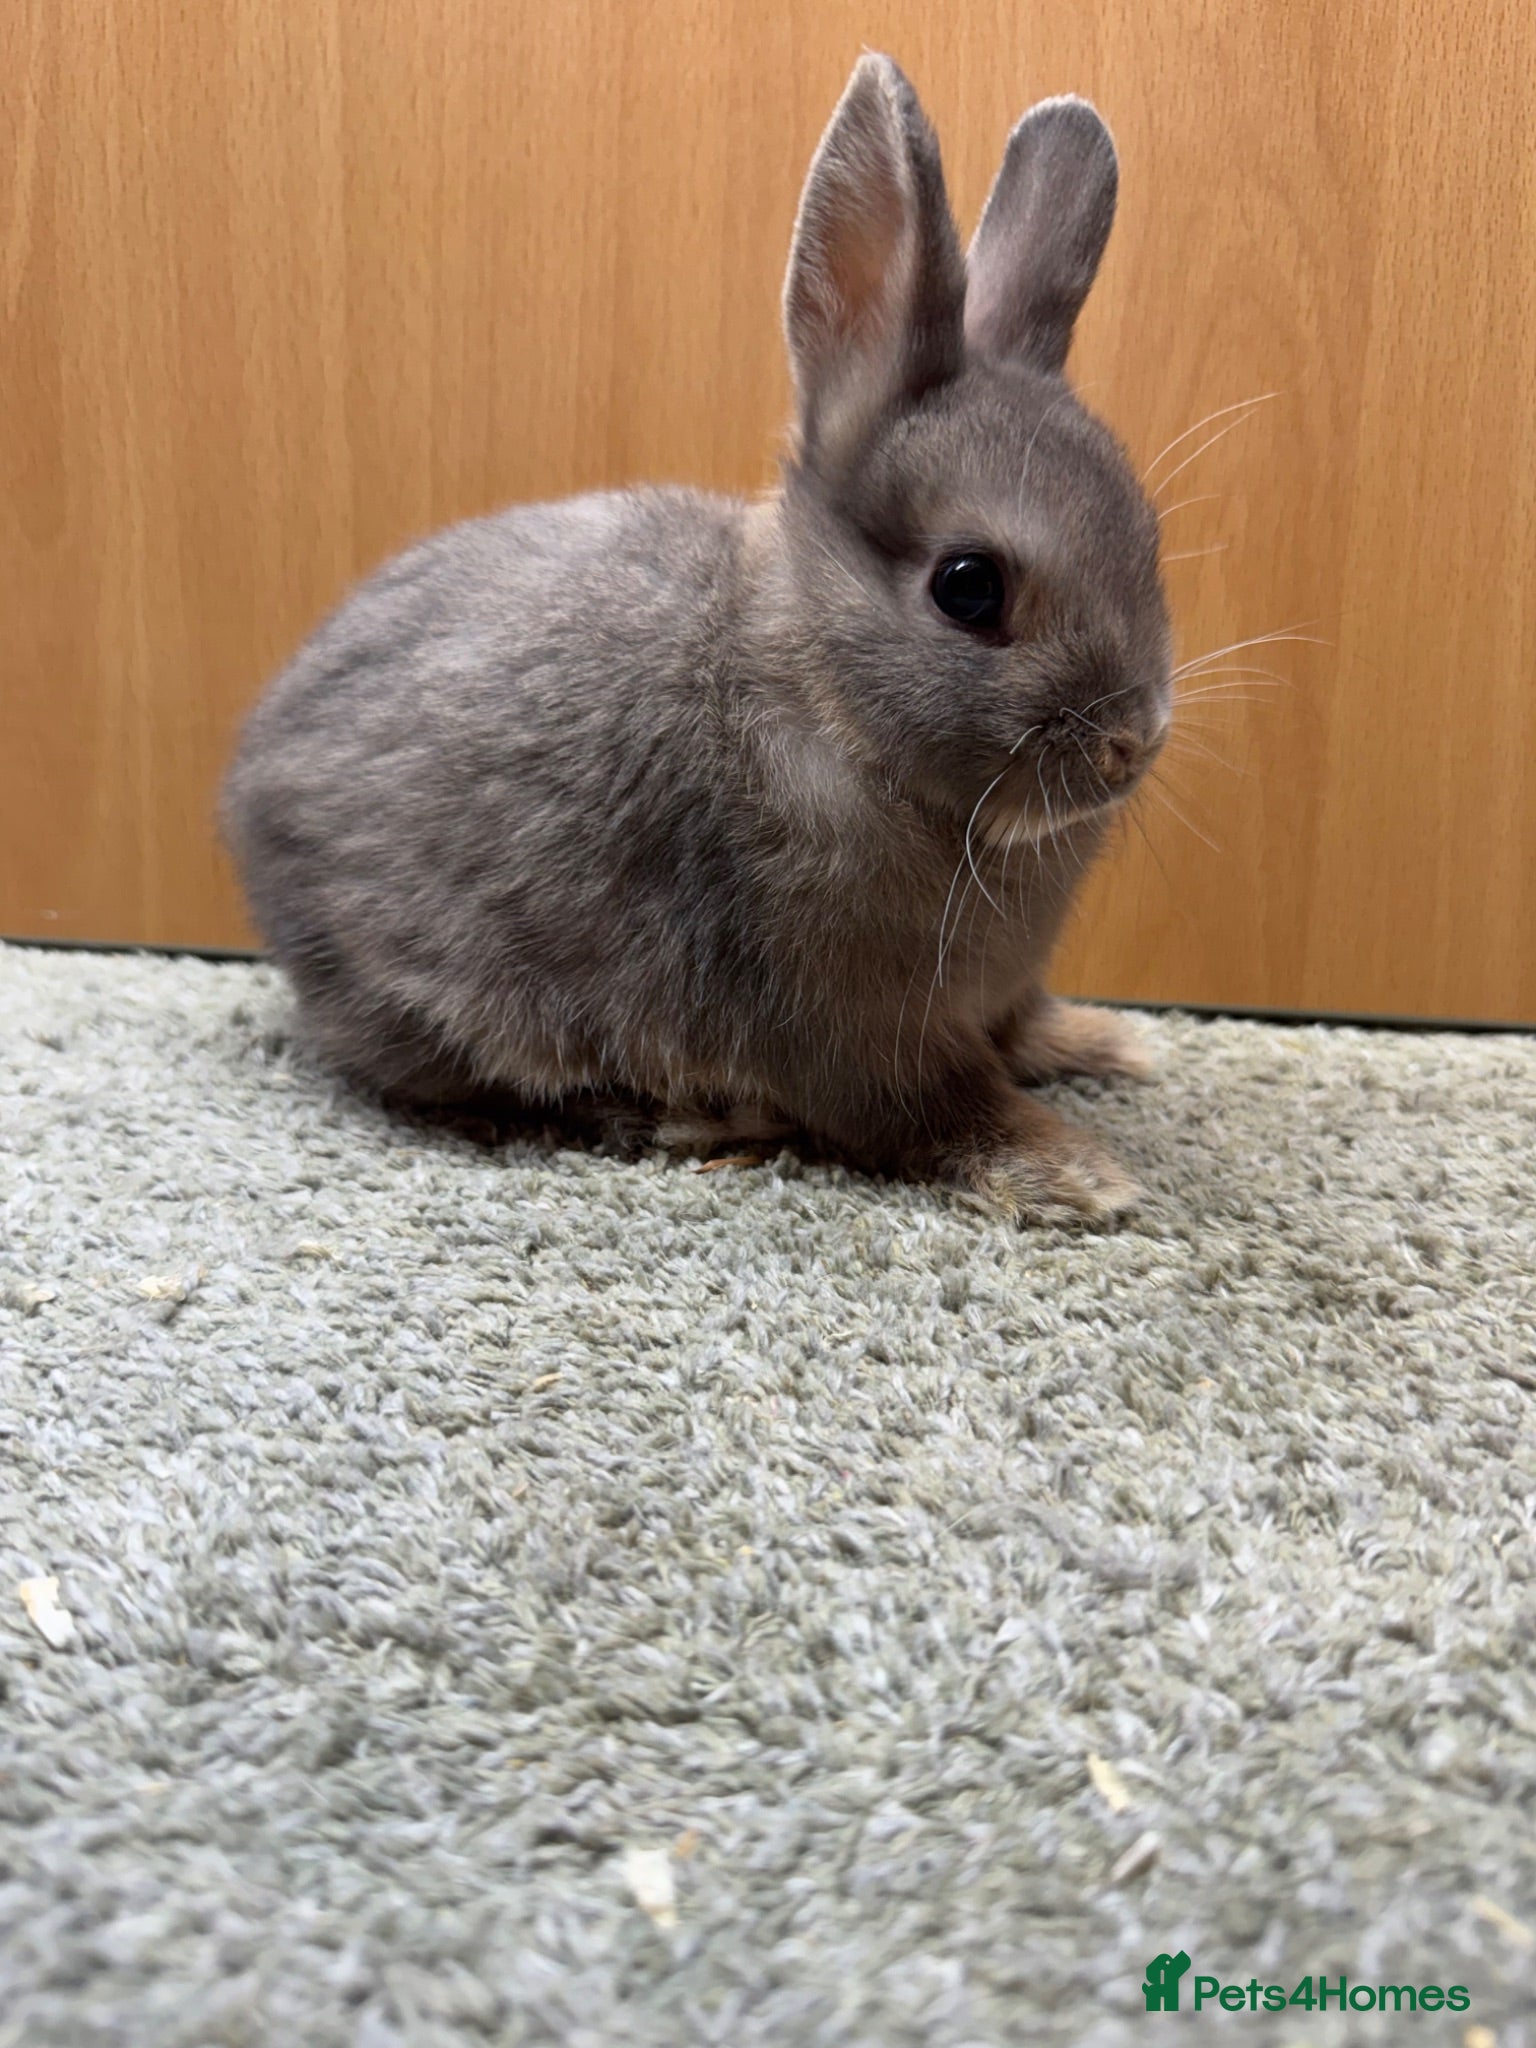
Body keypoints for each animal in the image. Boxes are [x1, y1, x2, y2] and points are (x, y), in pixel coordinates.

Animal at [222, 53, 1171, 1223]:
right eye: (968, 586)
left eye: (1146, 535)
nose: (1133, 742)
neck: (822, 701)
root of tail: (252, 795)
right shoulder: (845, 1020)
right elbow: (942, 1106)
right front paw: (1079, 1172)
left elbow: (1021, 1025)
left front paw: (1113, 1044)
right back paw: (690, 1118)